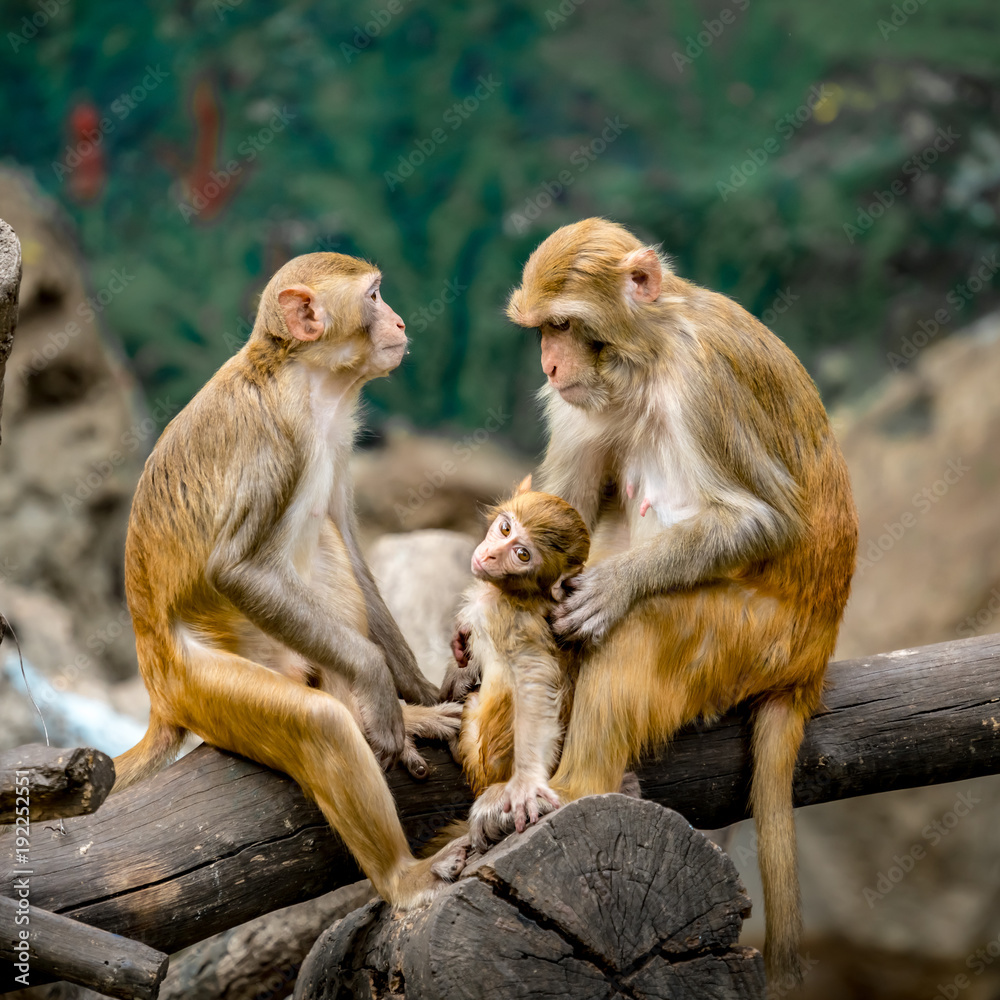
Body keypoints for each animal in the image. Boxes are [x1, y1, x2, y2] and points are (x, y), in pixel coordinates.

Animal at [114, 250, 468, 908]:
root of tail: (157, 689)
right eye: (374, 296)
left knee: (324, 548)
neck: (308, 381)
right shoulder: (275, 436)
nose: (400, 322)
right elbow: (235, 569)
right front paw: (379, 683)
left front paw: (417, 694)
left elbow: (345, 539)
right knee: (317, 725)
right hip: (203, 685)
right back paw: (402, 876)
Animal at [452, 484, 588, 852]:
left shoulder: (506, 617)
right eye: (505, 529)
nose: (491, 555)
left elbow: (534, 680)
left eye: (522, 555)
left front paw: (527, 782)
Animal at [508, 219, 860, 984]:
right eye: (541, 331)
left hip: (761, 640)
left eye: (562, 325)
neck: (648, 356)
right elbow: (564, 517)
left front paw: (615, 585)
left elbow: (766, 521)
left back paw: (578, 785)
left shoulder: (706, 383)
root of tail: (815, 660)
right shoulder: (584, 406)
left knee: (651, 620)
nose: (548, 367)